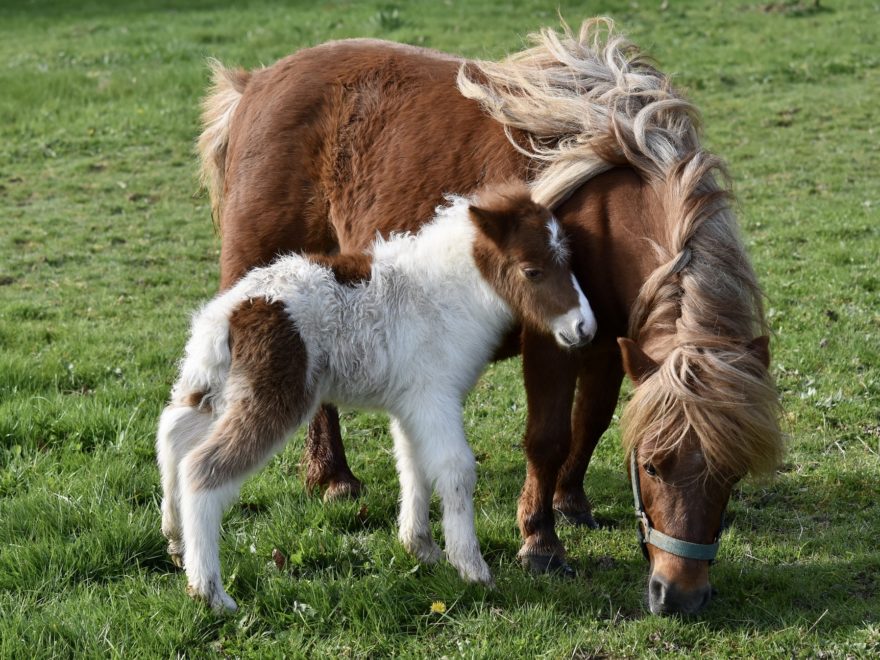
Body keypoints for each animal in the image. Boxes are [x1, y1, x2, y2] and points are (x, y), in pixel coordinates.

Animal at [156, 185, 597, 612]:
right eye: (532, 270)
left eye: (569, 261)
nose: (585, 328)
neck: (445, 295)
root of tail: (227, 314)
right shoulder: (435, 397)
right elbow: (455, 469)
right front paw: (471, 568)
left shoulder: (411, 406)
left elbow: (413, 465)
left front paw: (421, 549)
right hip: (276, 396)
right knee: (202, 469)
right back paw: (210, 592)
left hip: (211, 385)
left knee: (173, 433)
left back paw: (176, 542)